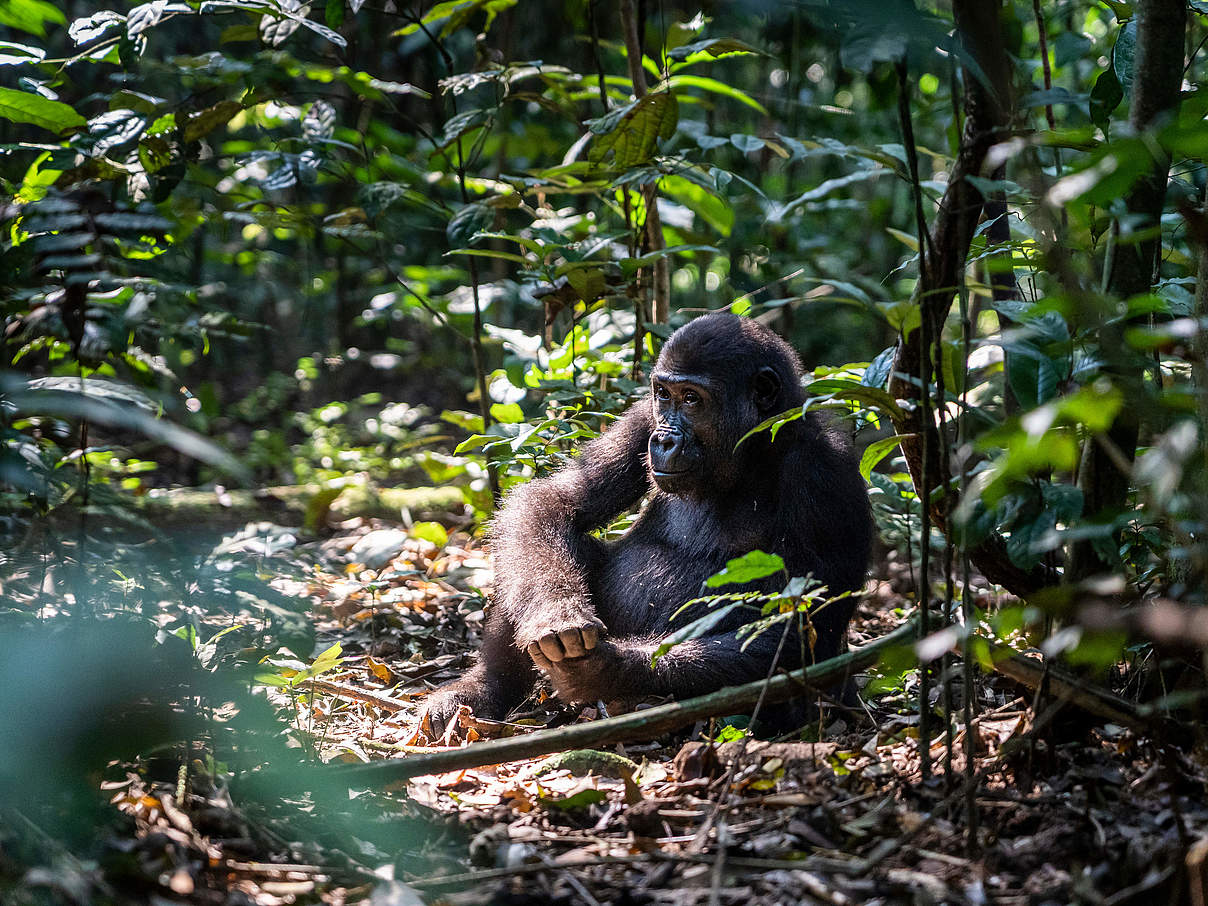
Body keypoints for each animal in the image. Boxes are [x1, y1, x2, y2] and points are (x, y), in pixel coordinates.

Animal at [422, 314, 869, 739]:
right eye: (664, 395)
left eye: (692, 399)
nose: (664, 439)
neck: (756, 446)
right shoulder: (640, 419)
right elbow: (555, 502)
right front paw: (555, 613)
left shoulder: (825, 474)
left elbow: (802, 626)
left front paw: (605, 670)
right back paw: (481, 691)